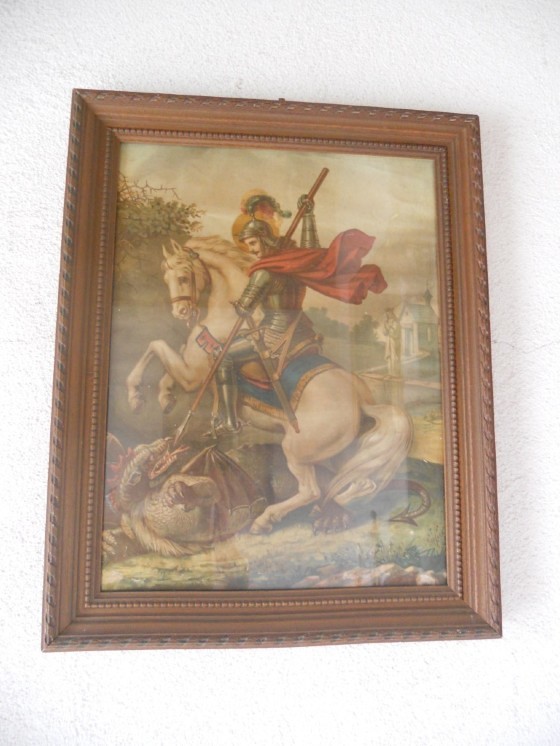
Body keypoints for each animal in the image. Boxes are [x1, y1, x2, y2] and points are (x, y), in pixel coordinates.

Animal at [126, 235, 414, 534]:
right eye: (165, 276)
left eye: (183, 277)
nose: (180, 311)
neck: (227, 319)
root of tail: (362, 399)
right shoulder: (188, 367)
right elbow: (164, 360)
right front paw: (165, 397)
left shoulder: (194, 374)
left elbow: (156, 345)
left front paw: (136, 395)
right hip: (338, 453)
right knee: (359, 482)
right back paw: (328, 511)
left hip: (297, 450)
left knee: (312, 490)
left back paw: (269, 518)